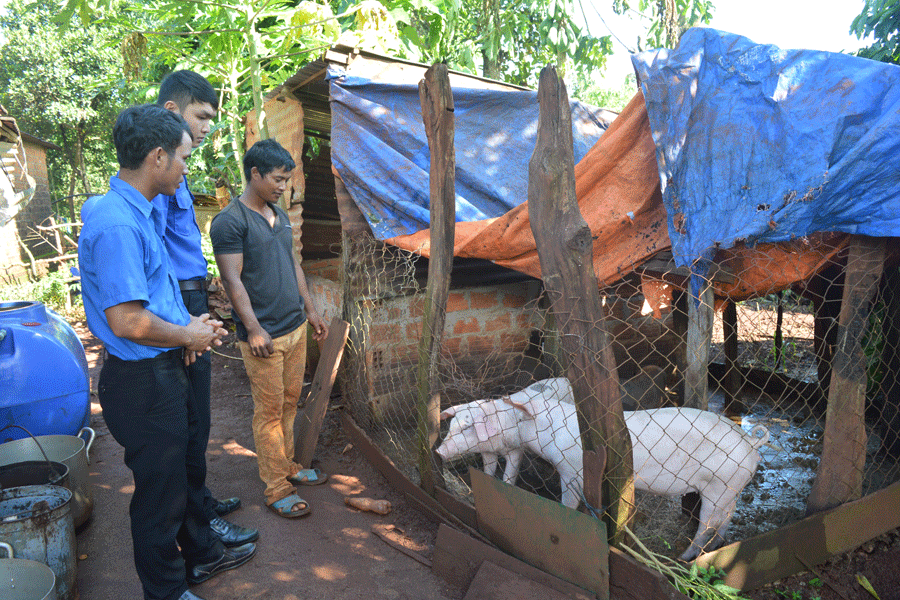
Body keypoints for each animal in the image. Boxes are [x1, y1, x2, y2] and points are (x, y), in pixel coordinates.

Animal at [436, 378, 768, 560]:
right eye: (452, 425)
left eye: (467, 427)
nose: (438, 450)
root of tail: (750, 441)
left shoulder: (571, 470)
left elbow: (570, 500)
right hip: (731, 489)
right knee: (726, 518)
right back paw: (717, 545)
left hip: (719, 486)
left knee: (706, 525)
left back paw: (683, 558)